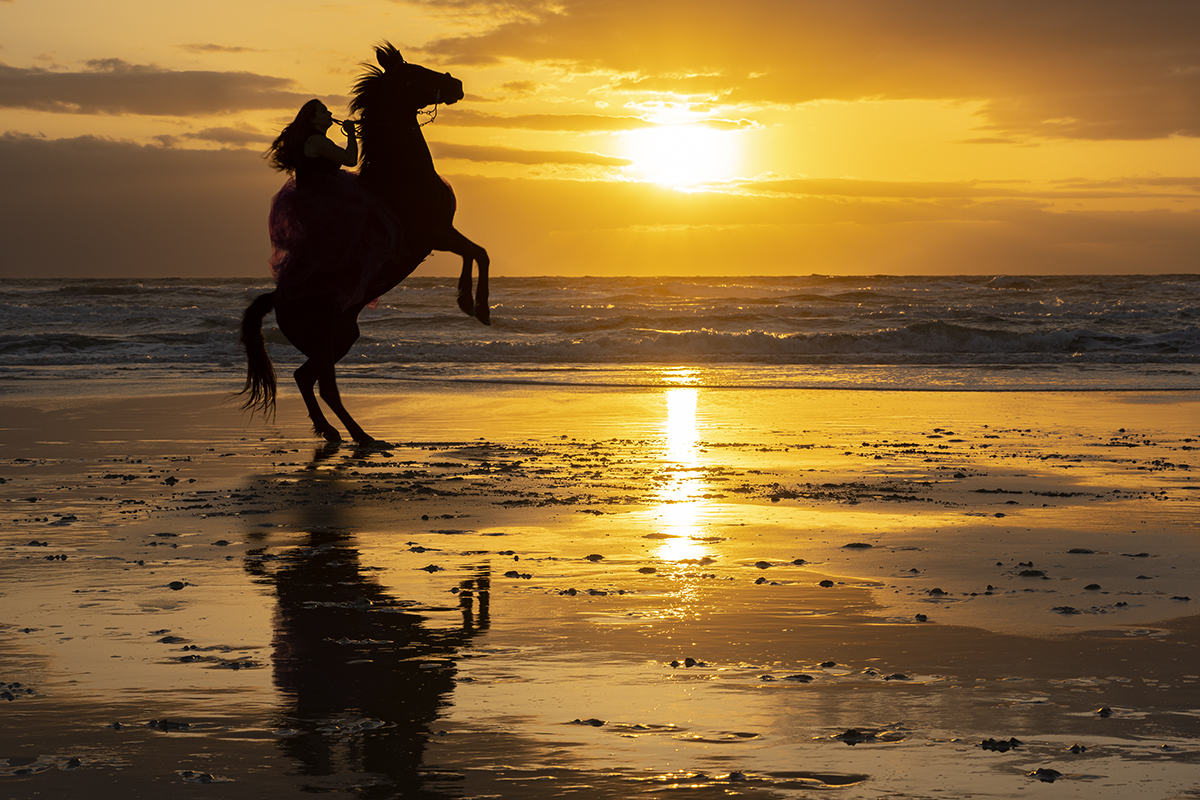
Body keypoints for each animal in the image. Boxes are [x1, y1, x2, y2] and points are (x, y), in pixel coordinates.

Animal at [235, 45, 487, 443]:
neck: (402, 174)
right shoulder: (433, 234)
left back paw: (340, 433)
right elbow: (477, 253)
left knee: (308, 379)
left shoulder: (442, 233)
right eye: (412, 74)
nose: (457, 84)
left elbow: (477, 253)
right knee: (321, 384)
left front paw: (470, 304)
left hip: (343, 336)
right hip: (326, 340)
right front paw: (477, 306)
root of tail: (277, 298)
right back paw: (357, 436)